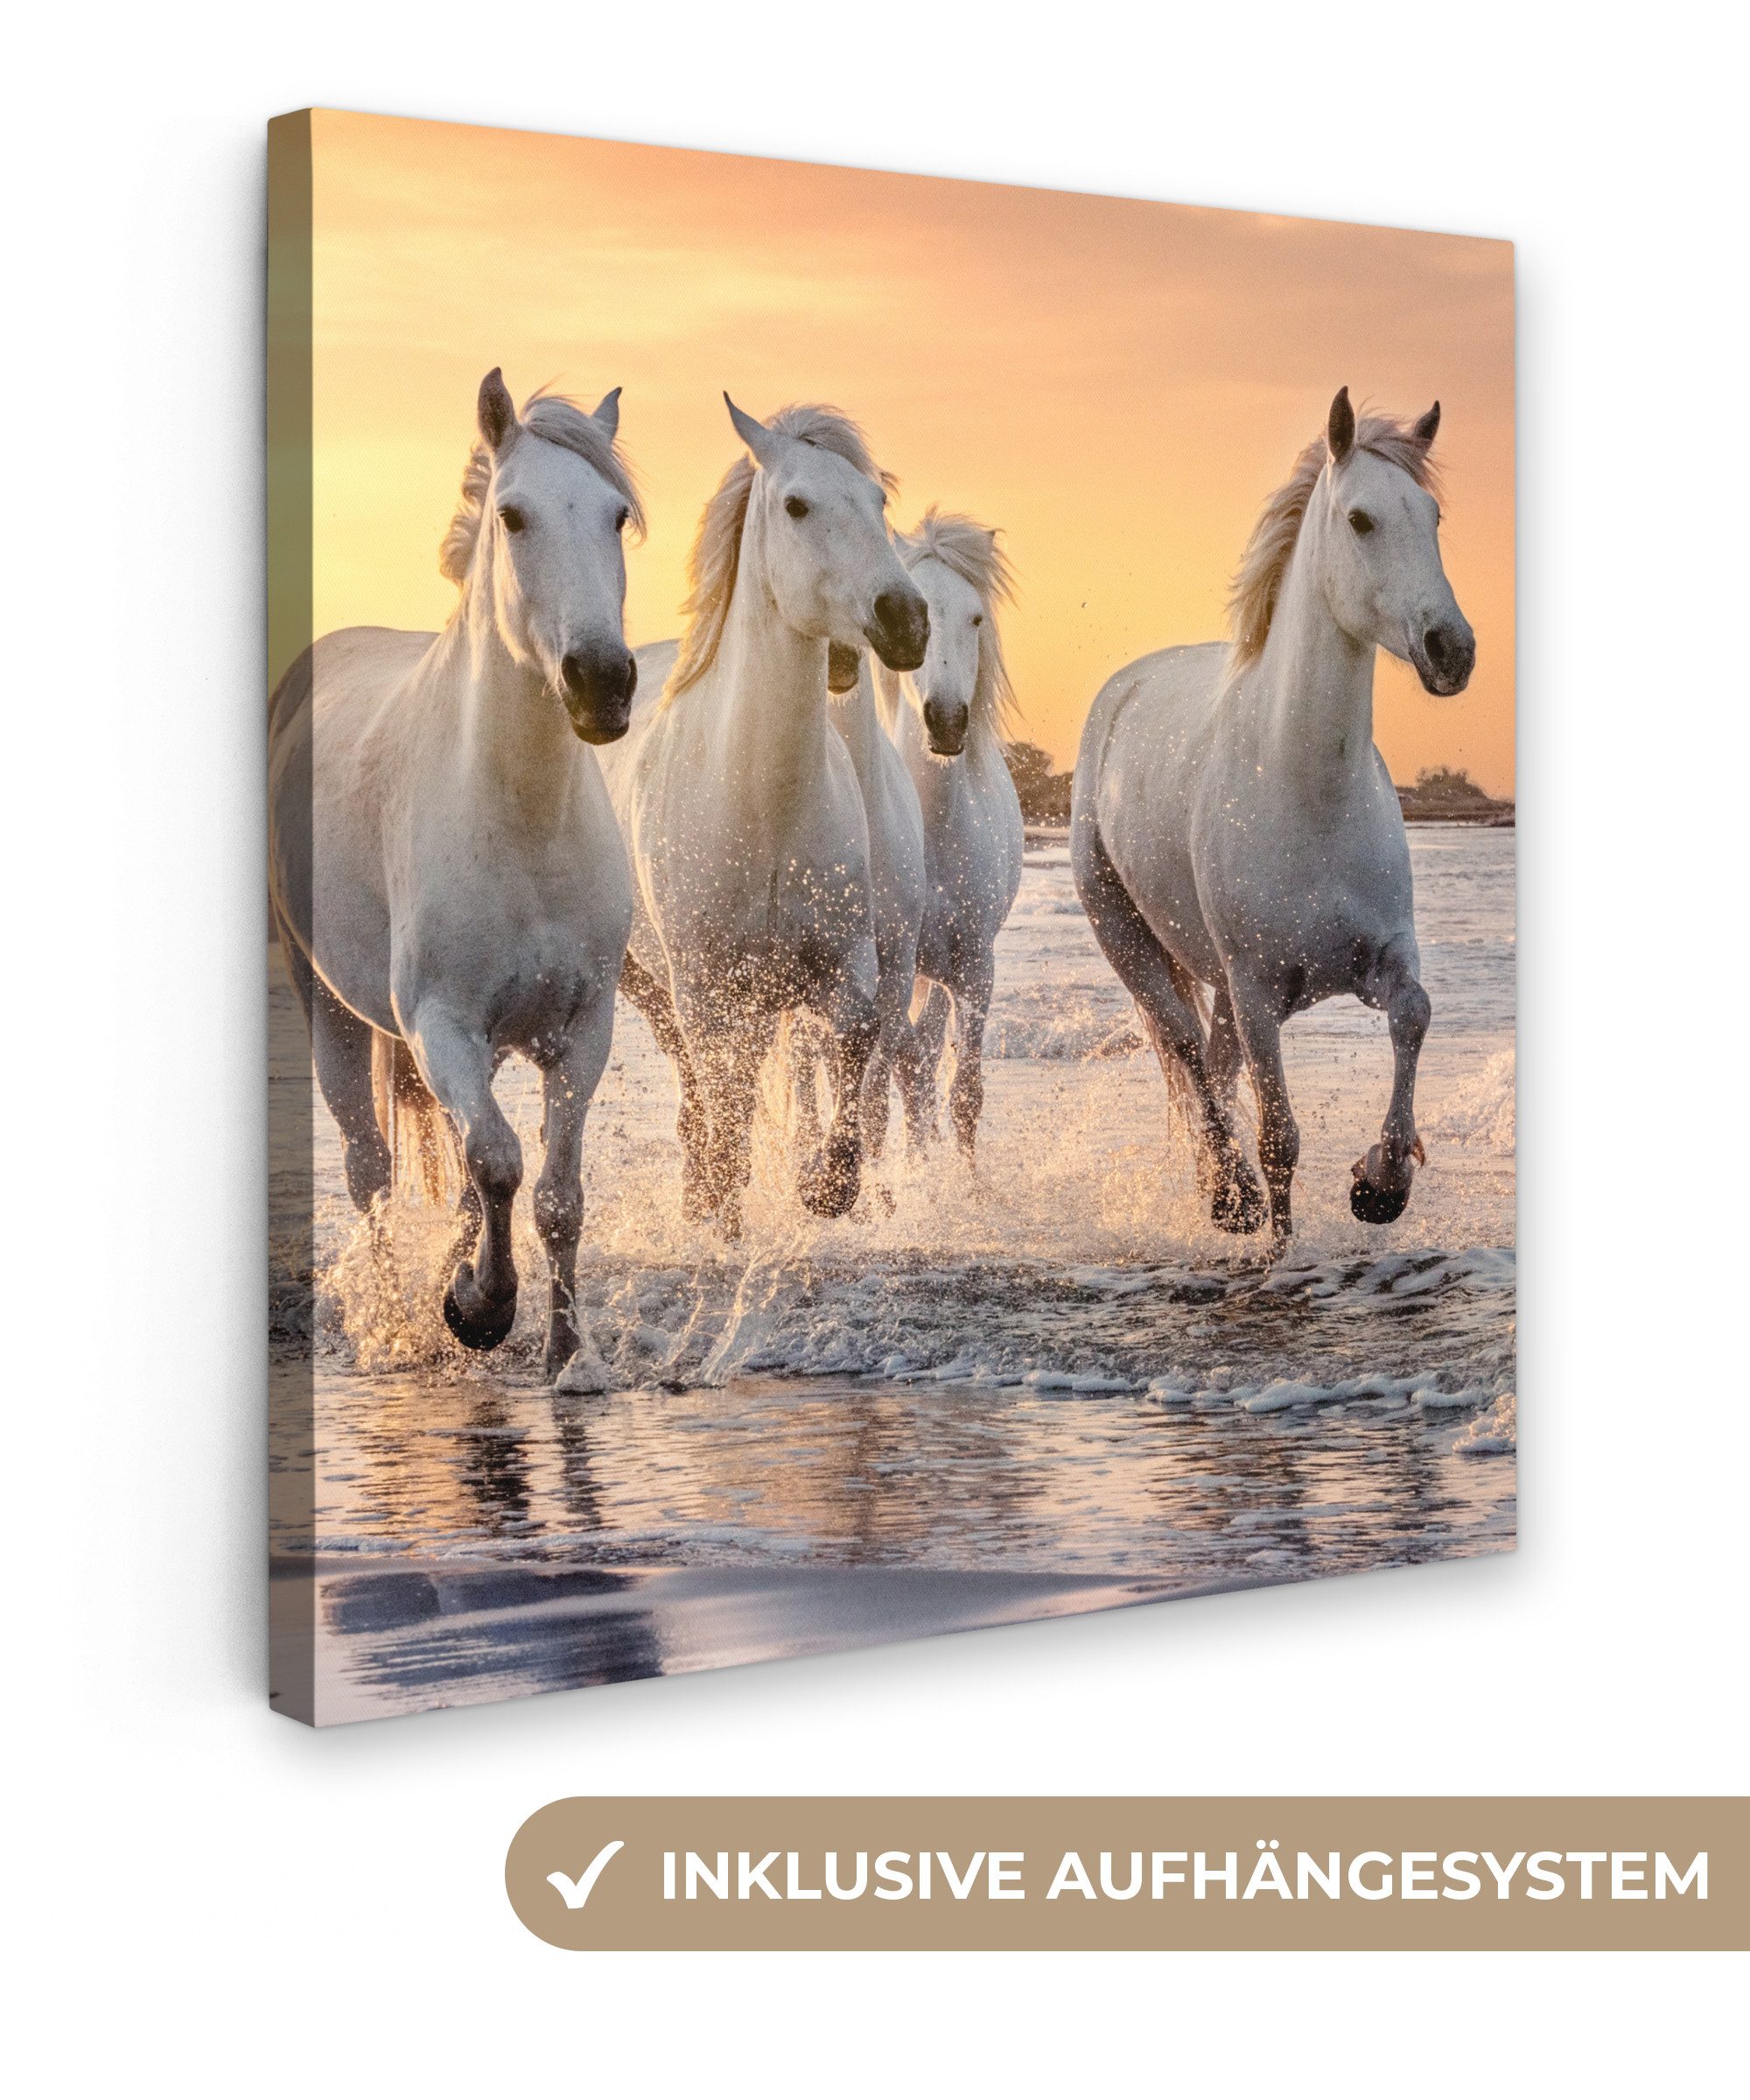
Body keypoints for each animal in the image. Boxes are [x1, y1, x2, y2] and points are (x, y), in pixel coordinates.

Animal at [267, 370, 641, 1382]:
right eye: (512, 516)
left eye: (617, 515)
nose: (602, 681)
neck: (520, 818)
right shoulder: (439, 1024)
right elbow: (501, 1163)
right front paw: (480, 1309)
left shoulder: (581, 1028)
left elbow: (553, 1193)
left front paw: (565, 1355)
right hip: (331, 1010)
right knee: (370, 1168)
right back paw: (401, 1321)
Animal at [597, 397, 929, 1239]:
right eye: (797, 505)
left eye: (878, 501)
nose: (906, 619)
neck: (764, 808)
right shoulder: (708, 988)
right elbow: (727, 1100)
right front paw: (722, 1204)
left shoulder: (848, 969)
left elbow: (853, 1054)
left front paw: (825, 1187)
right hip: (653, 985)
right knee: (700, 1088)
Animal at [1070, 387, 1475, 1248]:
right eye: (1360, 519)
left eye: (1430, 514)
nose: (1450, 649)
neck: (1307, 793)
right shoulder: (1258, 993)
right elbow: (1280, 1139)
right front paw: (1279, 1241)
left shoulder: (1383, 958)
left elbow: (1415, 1016)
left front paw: (1381, 1182)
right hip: (1132, 941)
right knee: (1187, 1052)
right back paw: (1230, 1197)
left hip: (1217, 981)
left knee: (1211, 1066)